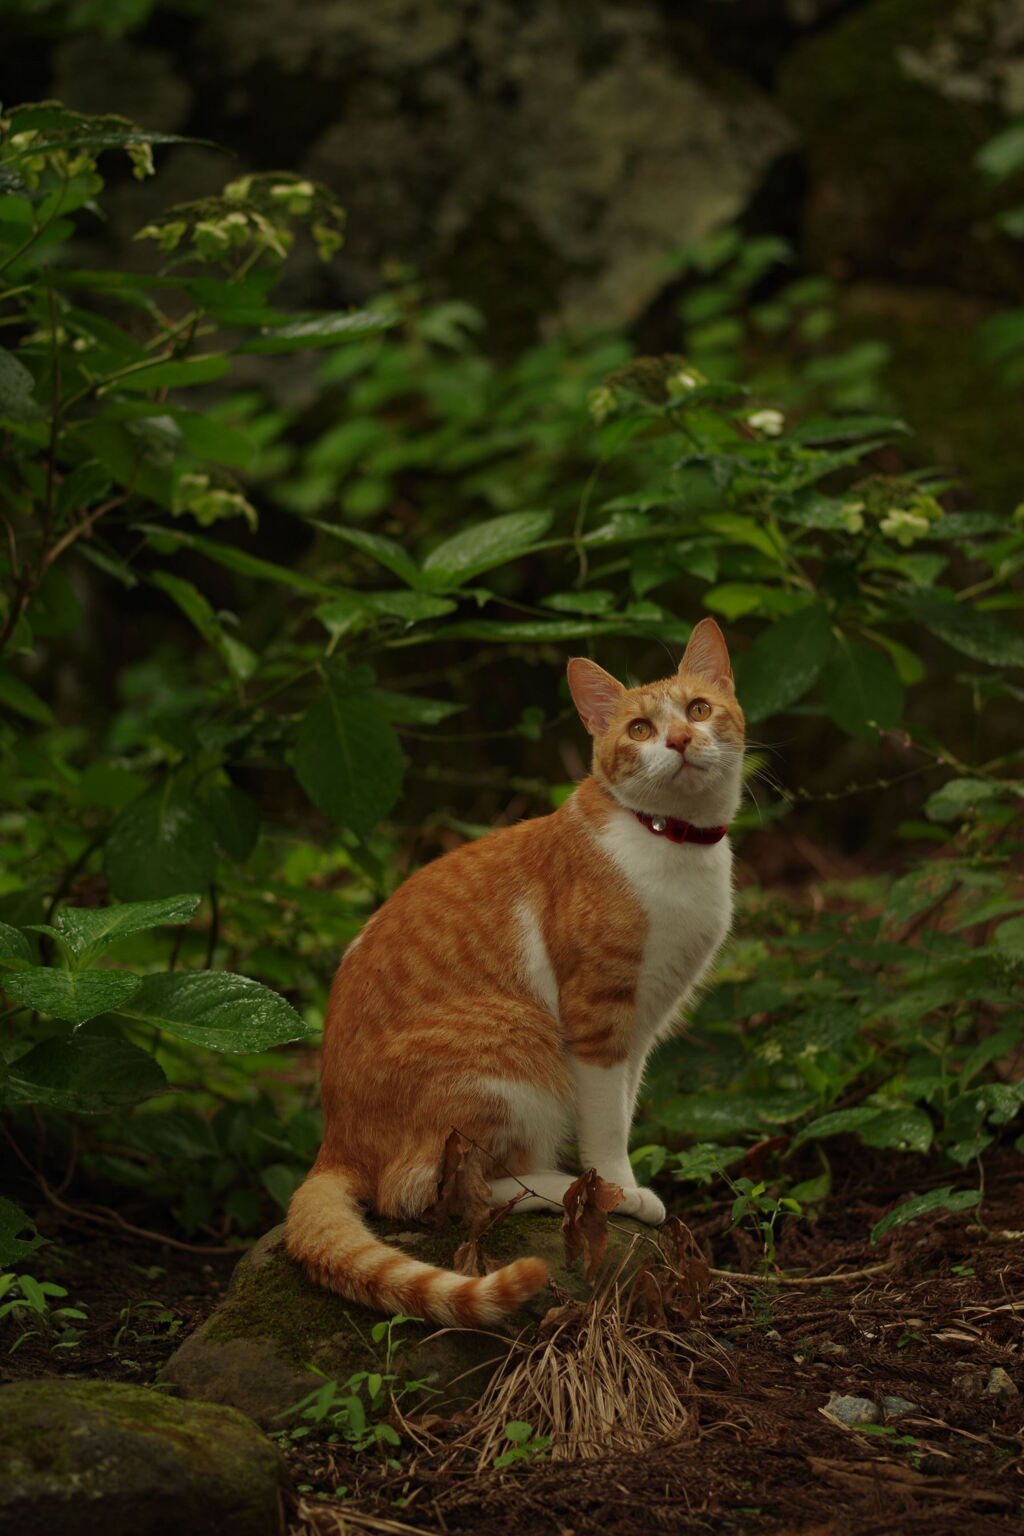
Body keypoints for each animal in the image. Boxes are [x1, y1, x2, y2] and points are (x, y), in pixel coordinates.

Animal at [284, 617, 749, 1327]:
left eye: (698, 710)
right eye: (641, 729)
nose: (677, 739)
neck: (667, 840)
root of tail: (333, 1142)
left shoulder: (641, 1026)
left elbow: (623, 1107)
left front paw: (616, 1181)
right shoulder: (595, 1019)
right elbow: (604, 1124)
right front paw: (617, 1189)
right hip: (514, 1049)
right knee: (432, 1194)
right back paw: (562, 1189)